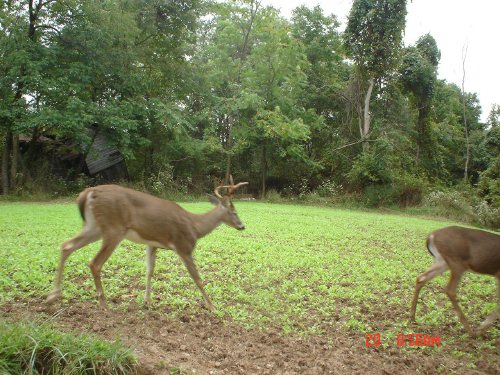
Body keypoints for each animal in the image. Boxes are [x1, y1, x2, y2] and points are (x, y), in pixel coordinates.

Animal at [46, 176, 249, 312]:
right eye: (234, 212)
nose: (242, 226)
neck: (195, 227)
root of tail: (89, 192)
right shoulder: (184, 246)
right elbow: (197, 279)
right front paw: (213, 307)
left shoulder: (153, 244)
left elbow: (149, 271)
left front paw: (147, 302)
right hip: (114, 229)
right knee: (94, 263)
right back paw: (103, 304)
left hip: (93, 226)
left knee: (66, 245)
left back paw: (53, 295)